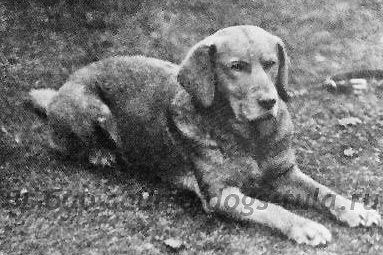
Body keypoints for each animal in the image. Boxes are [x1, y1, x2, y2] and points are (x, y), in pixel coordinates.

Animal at [28, 25, 382, 245]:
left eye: (270, 63)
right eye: (236, 66)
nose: (269, 102)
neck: (249, 136)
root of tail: (62, 87)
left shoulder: (284, 173)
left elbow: (324, 191)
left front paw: (355, 209)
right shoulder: (221, 194)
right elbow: (273, 209)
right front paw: (305, 225)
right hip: (90, 108)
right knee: (63, 143)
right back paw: (101, 153)